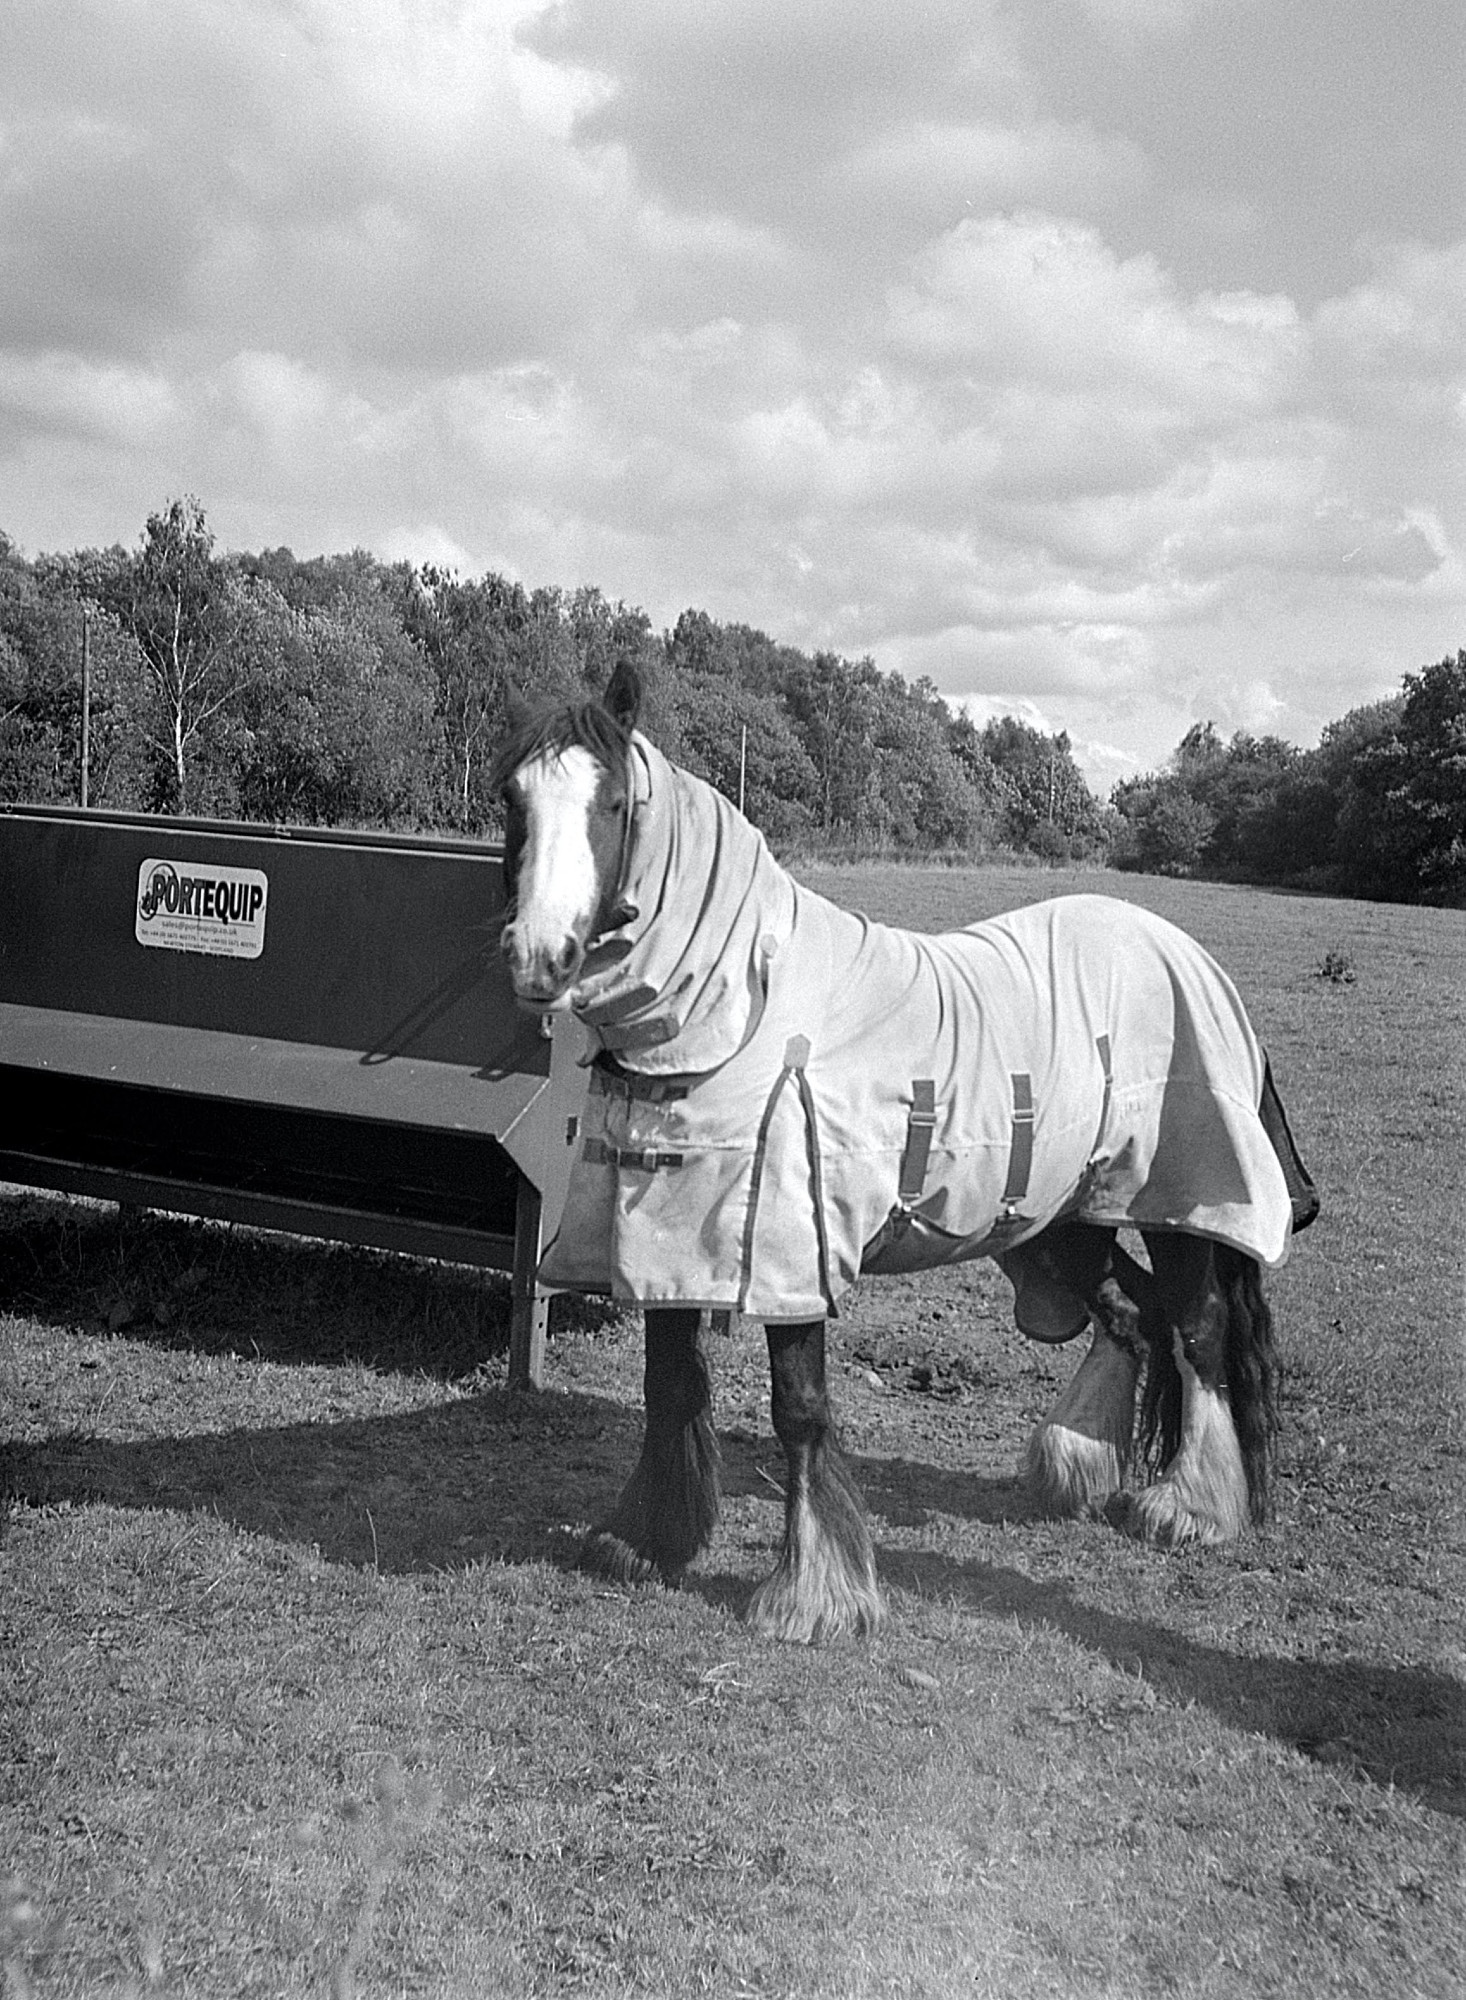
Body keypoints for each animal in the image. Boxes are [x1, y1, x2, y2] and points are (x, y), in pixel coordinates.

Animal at [488, 664, 1312, 1648]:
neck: (737, 1013)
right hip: (1061, 1215)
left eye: (612, 802)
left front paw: (813, 1596)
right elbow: (672, 1386)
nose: (539, 959)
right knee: (1128, 1315)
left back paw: (1189, 1507)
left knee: (1197, 1330)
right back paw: (1074, 1464)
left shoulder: (788, 1253)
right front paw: (648, 1540)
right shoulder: (668, 1240)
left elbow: (799, 1406)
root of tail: (1189, 957)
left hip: (1179, 1206)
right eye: (511, 801)